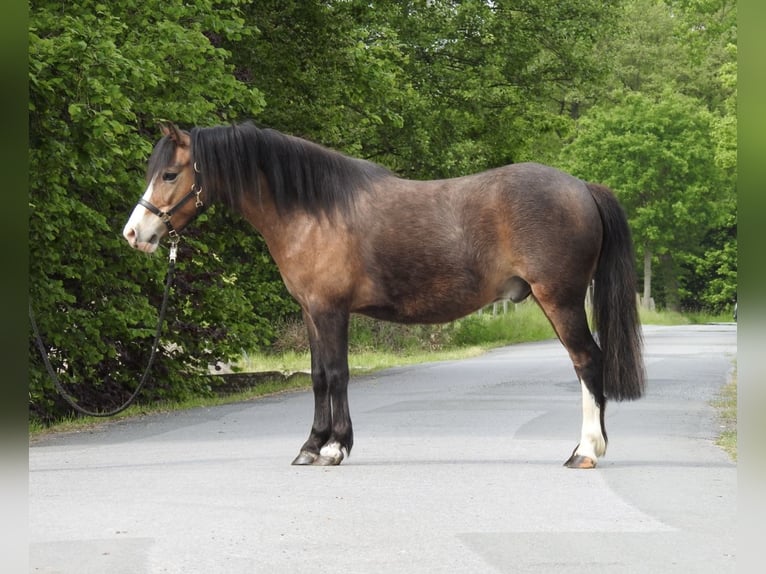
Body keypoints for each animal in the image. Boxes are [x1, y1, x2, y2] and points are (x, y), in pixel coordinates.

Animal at [123, 121, 645, 469]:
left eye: (170, 174)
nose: (134, 233)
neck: (314, 209)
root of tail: (581, 187)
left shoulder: (331, 311)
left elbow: (337, 374)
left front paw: (335, 447)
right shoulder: (312, 312)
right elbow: (317, 377)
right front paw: (310, 447)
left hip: (560, 300)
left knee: (587, 362)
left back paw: (586, 451)